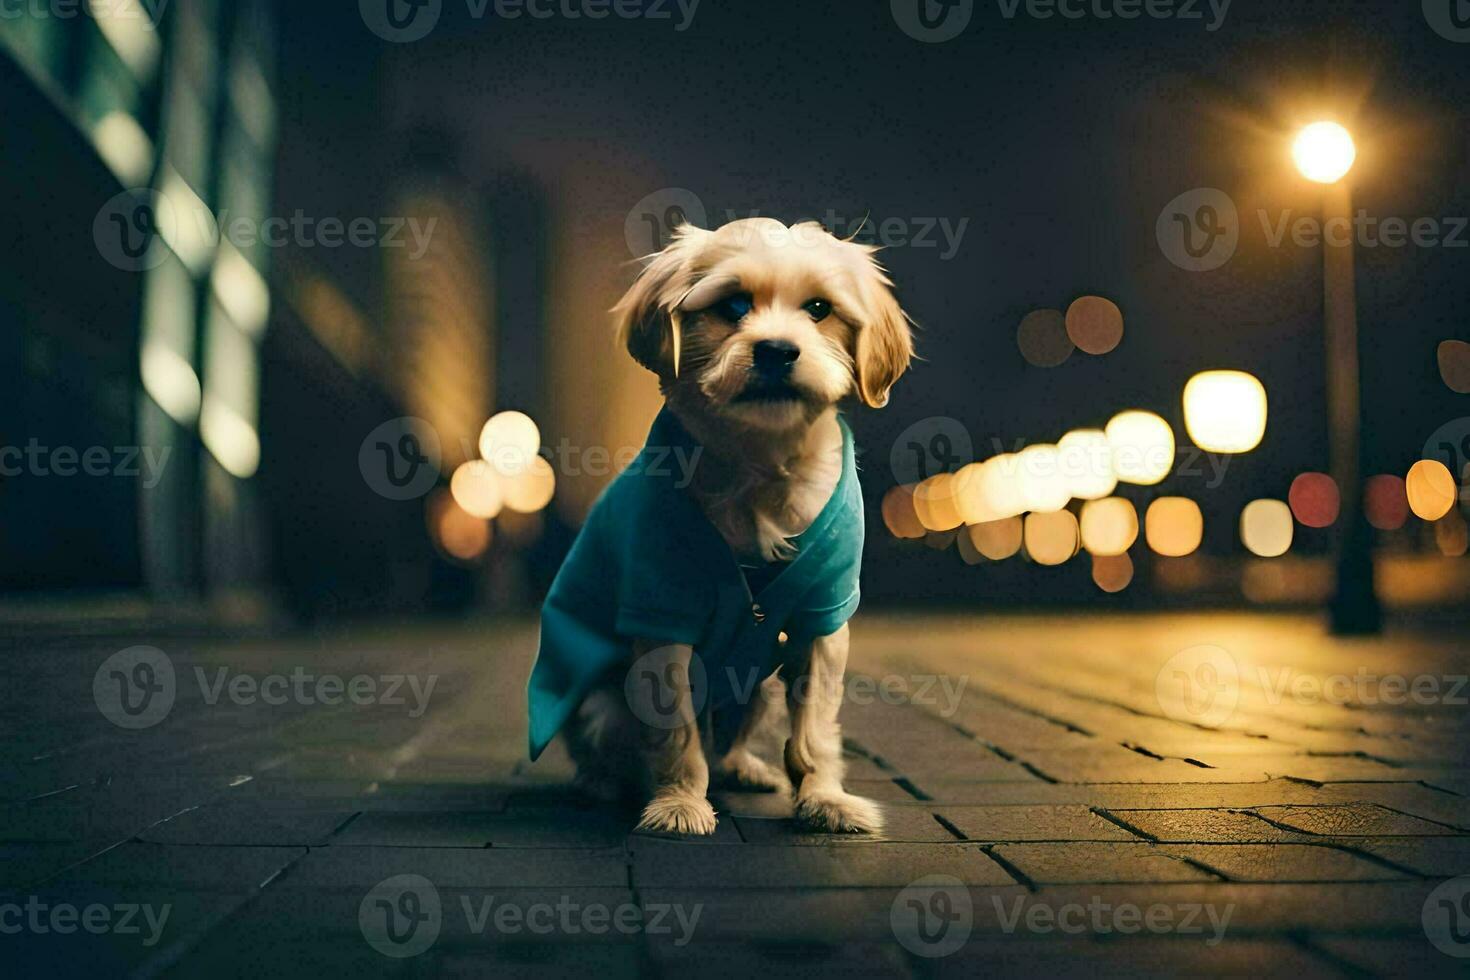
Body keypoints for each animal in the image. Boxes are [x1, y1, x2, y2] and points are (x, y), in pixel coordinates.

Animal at [529, 215, 911, 834]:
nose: (777, 350)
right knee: (616, 747)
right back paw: (604, 784)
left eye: (819, 309)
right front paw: (679, 802)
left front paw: (825, 798)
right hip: (602, 707)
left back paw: (743, 768)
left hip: (759, 691)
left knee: (730, 743)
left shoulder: (821, 624)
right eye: (732, 305)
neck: (760, 465)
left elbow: (814, 732)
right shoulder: (663, 618)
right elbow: (676, 735)